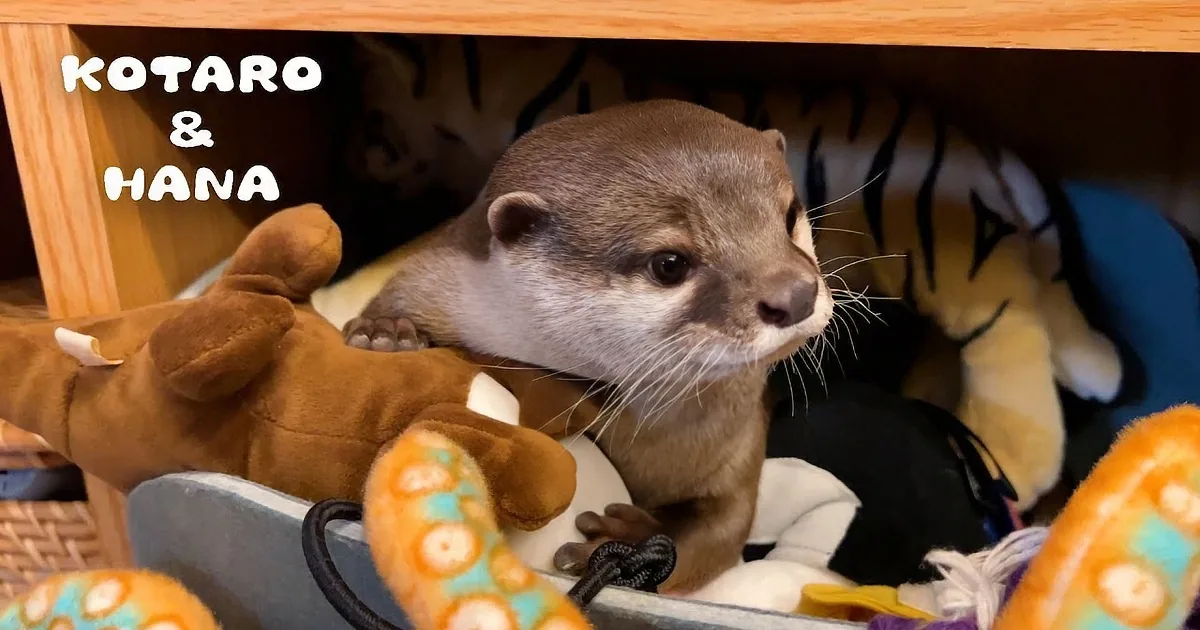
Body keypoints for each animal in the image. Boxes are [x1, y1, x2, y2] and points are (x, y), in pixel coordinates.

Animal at [342, 99, 834, 593]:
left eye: (790, 216)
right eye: (670, 263)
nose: (795, 295)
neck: (657, 453)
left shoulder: (739, 450)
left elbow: (720, 533)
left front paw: (622, 542)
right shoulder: (433, 284)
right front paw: (386, 332)